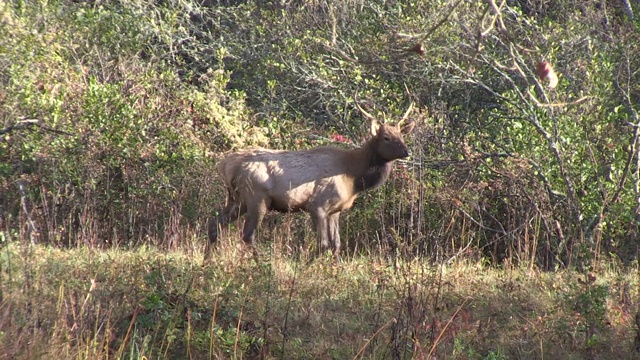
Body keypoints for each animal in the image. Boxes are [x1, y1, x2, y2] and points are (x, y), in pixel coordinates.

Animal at [202, 98, 418, 262]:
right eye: (386, 137)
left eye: (401, 135)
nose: (407, 152)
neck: (354, 178)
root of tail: (225, 165)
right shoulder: (317, 205)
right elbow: (323, 244)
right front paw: (306, 266)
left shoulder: (335, 210)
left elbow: (337, 244)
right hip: (257, 197)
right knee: (248, 235)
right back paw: (260, 265)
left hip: (237, 200)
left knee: (214, 224)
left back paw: (207, 261)